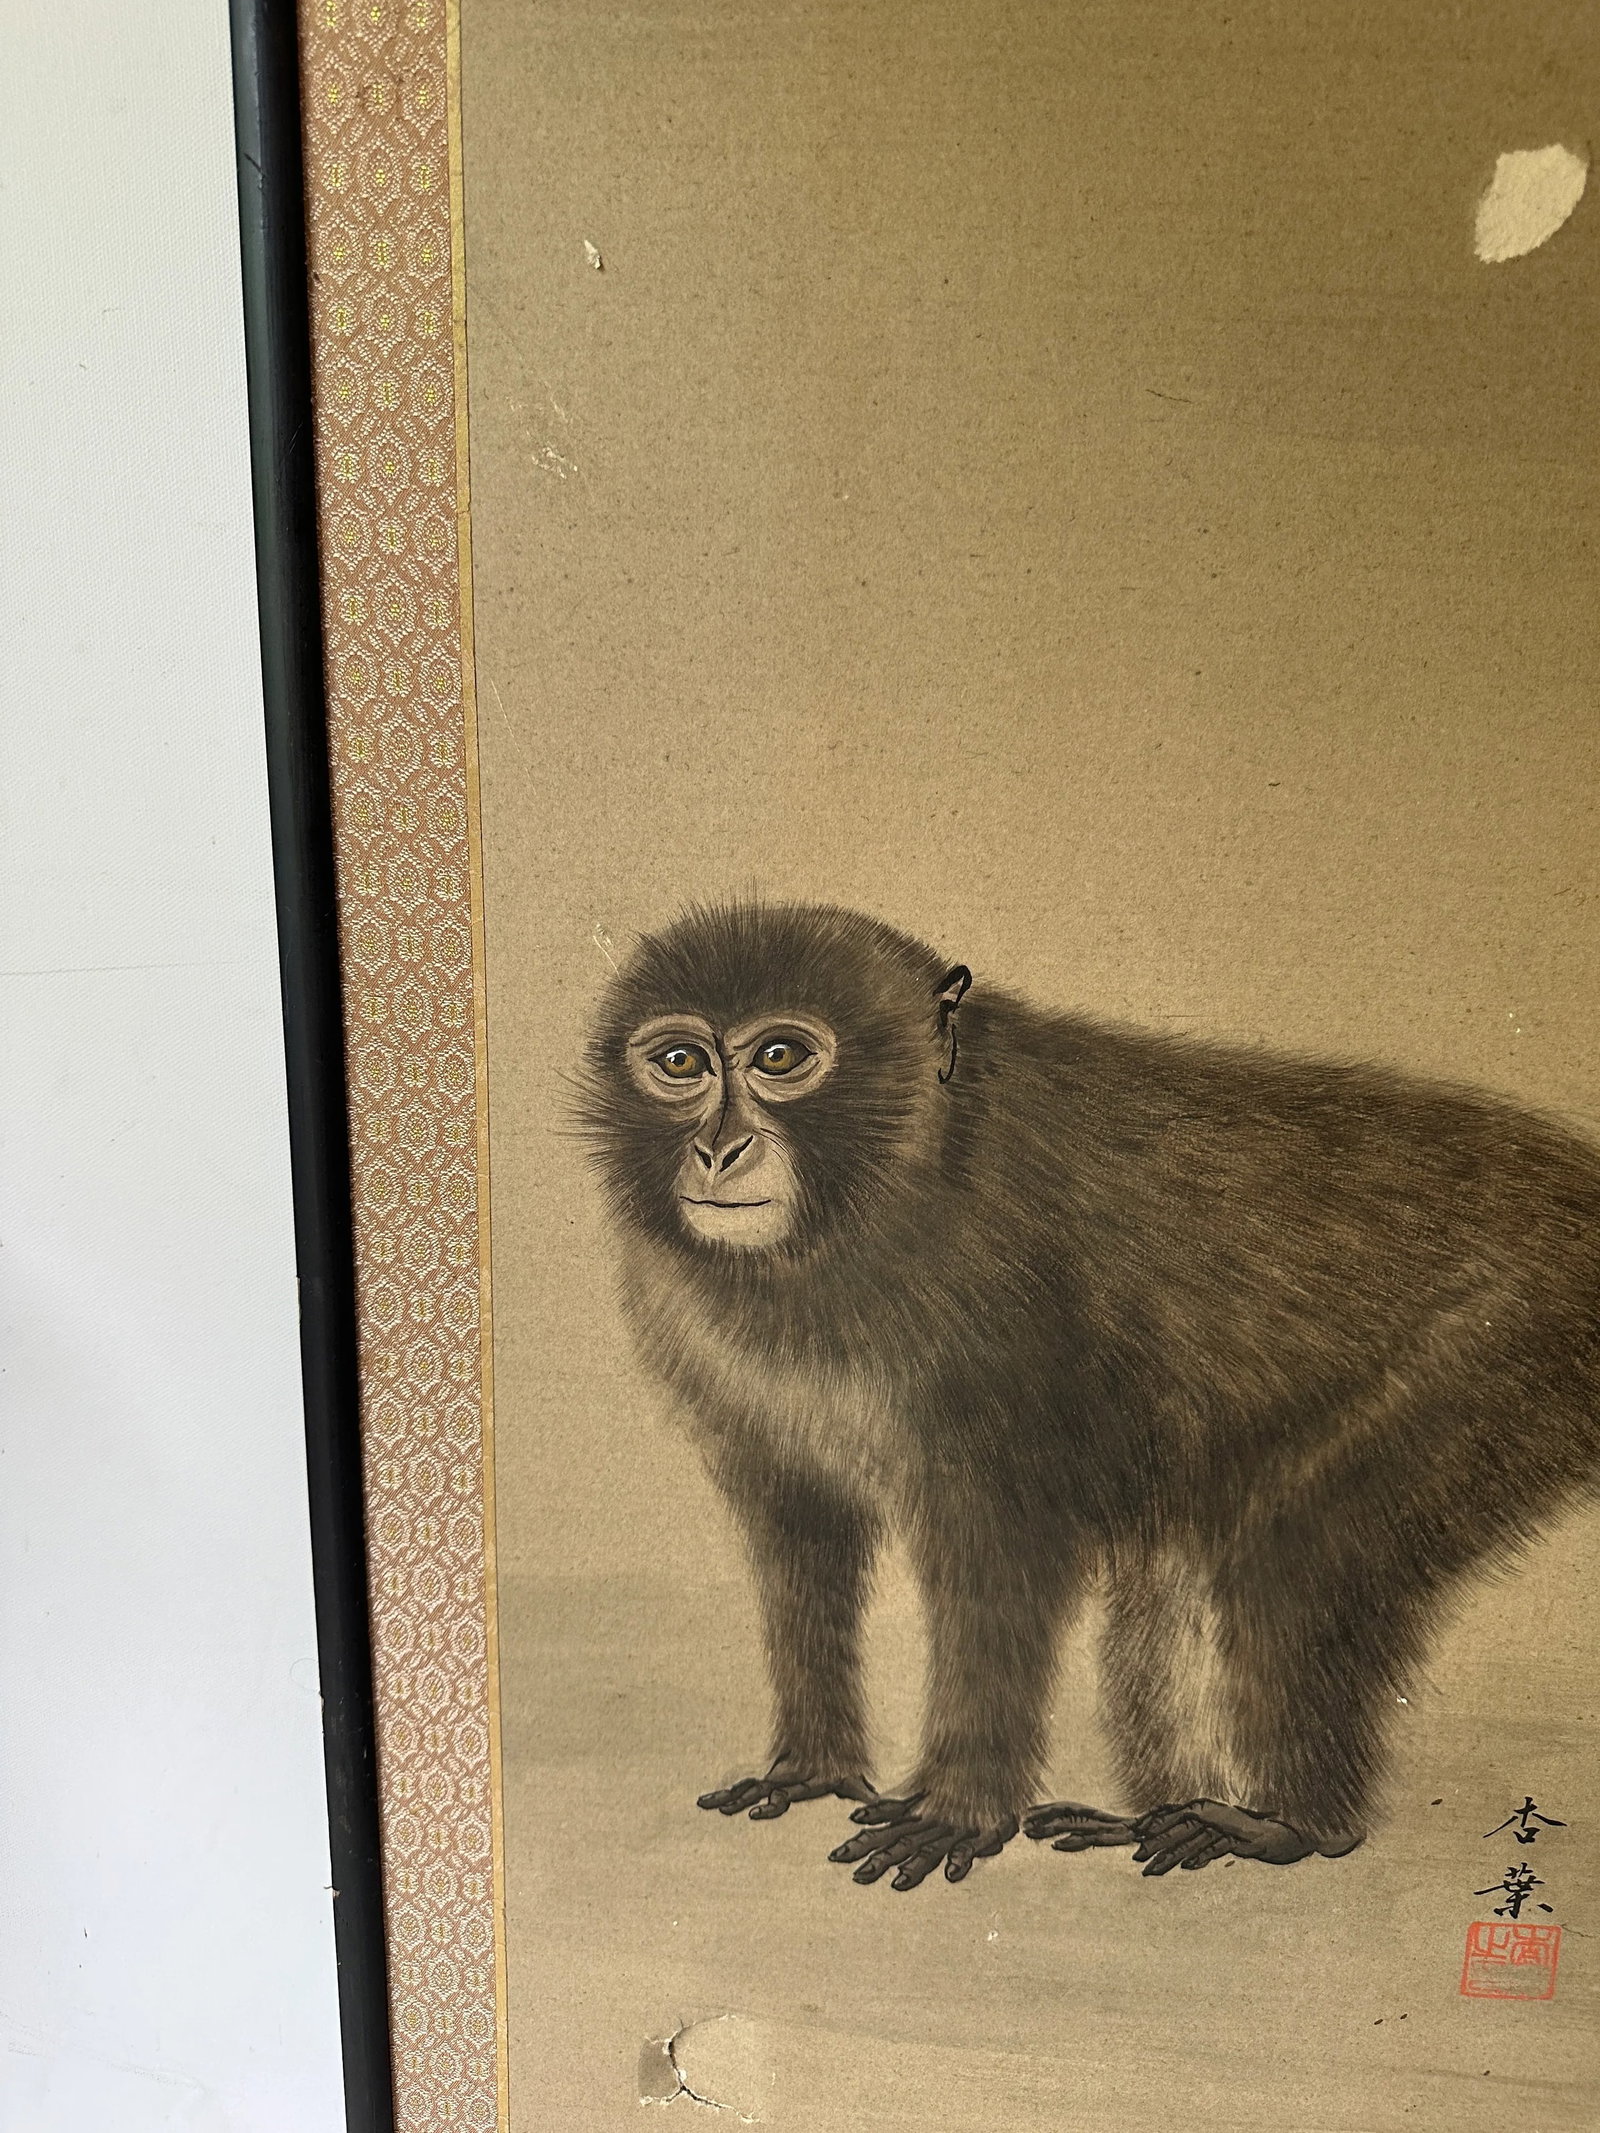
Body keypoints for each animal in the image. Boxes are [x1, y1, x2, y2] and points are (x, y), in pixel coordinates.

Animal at [575, 899, 1600, 1892]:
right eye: (681, 1063)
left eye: (781, 1058)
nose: (719, 1149)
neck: (885, 1187)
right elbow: (804, 1529)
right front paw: (815, 1768)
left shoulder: (991, 1306)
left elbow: (1002, 1551)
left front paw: (962, 1809)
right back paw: (1161, 1813)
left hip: (1518, 1345)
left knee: (1294, 1551)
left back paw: (1290, 1827)